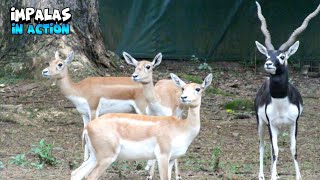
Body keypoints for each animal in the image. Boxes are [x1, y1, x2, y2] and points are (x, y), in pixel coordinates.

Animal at [71, 73, 214, 180]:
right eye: (183, 88)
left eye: (198, 88)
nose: (183, 97)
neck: (181, 127)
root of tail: (87, 128)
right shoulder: (162, 155)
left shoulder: (172, 158)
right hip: (106, 157)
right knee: (90, 177)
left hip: (94, 157)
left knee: (75, 173)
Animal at [124, 51, 184, 179]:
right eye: (135, 65)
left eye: (148, 66)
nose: (134, 76)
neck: (157, 102)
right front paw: (149, 175)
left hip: (178, 115)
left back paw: (178, 175)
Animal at [254, 1, 318, 180]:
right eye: (267, 55)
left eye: (282, 56)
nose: (268, 64)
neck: (281, 103)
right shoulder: (271, 124)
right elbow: (275, 150)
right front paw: (272, 176)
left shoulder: (294, 123)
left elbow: (293, 149)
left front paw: (298, 176)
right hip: (261, 123)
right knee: (263, 145)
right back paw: (262, 175)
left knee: (271, 147)